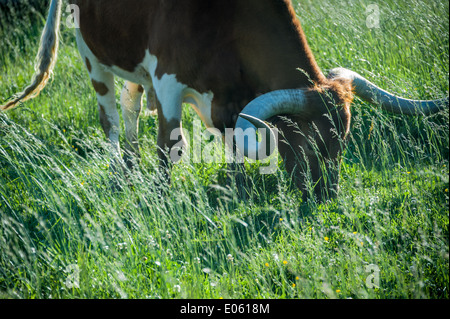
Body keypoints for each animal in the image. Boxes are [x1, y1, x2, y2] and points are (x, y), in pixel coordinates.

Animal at [1, 0, 448, 201]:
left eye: (344, 141)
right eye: (312, 143)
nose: (325, 196)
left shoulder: (232, 99)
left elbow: (235, 145)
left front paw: (236, 190)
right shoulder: (168, 82)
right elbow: (170, 146)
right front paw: (161, 198)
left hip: (134, 71)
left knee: (130, 110)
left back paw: (130, 166)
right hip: (93, 57)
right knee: (110, 120)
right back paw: (120, 175)